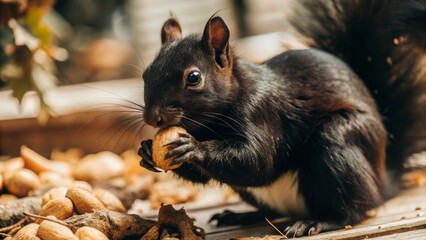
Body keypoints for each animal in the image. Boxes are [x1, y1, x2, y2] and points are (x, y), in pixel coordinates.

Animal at [138, 0, 424, 236]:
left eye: (194, 77)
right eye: (146, 73)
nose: (153, 118)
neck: (207, 126)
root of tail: (383, 177)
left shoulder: (262, 113)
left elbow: (258, 160)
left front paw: (193, 147)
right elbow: (208, 176)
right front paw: (146, 151)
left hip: (338, 141)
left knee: (353, 209)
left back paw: (319, 221)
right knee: (271, 210)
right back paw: (241, 216)